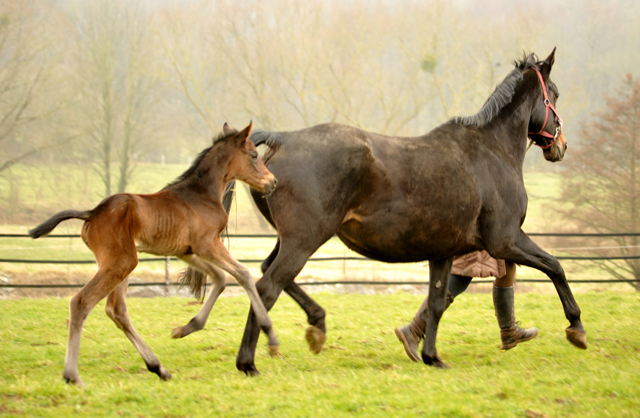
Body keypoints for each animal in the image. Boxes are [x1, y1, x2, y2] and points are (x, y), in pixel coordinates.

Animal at [28, 121, 278, 386]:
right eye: (253, 155)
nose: (272, 182)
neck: (202, 194)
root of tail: (92, 213)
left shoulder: (185, 251)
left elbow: (219, 278)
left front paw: (186, 328)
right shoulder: (207, 244)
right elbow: (243, 274)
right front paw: (270, 334)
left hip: (121, 265)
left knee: (117, 310)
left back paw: (158, 367)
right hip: (121, 263)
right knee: (81, 302)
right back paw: (72, 375)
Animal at [178, 49, 584, 376]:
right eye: (555, 94)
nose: (561, 145)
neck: (491, 152)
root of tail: (284, 139)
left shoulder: (444, 251)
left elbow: (438, 301)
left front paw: (431, 356)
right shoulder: (505, 240)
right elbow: (556, 267)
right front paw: (576, 328)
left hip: (292, 239)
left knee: (265, 274)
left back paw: (316, 326)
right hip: (304, 241)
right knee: (266, 285)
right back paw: (249, 361)